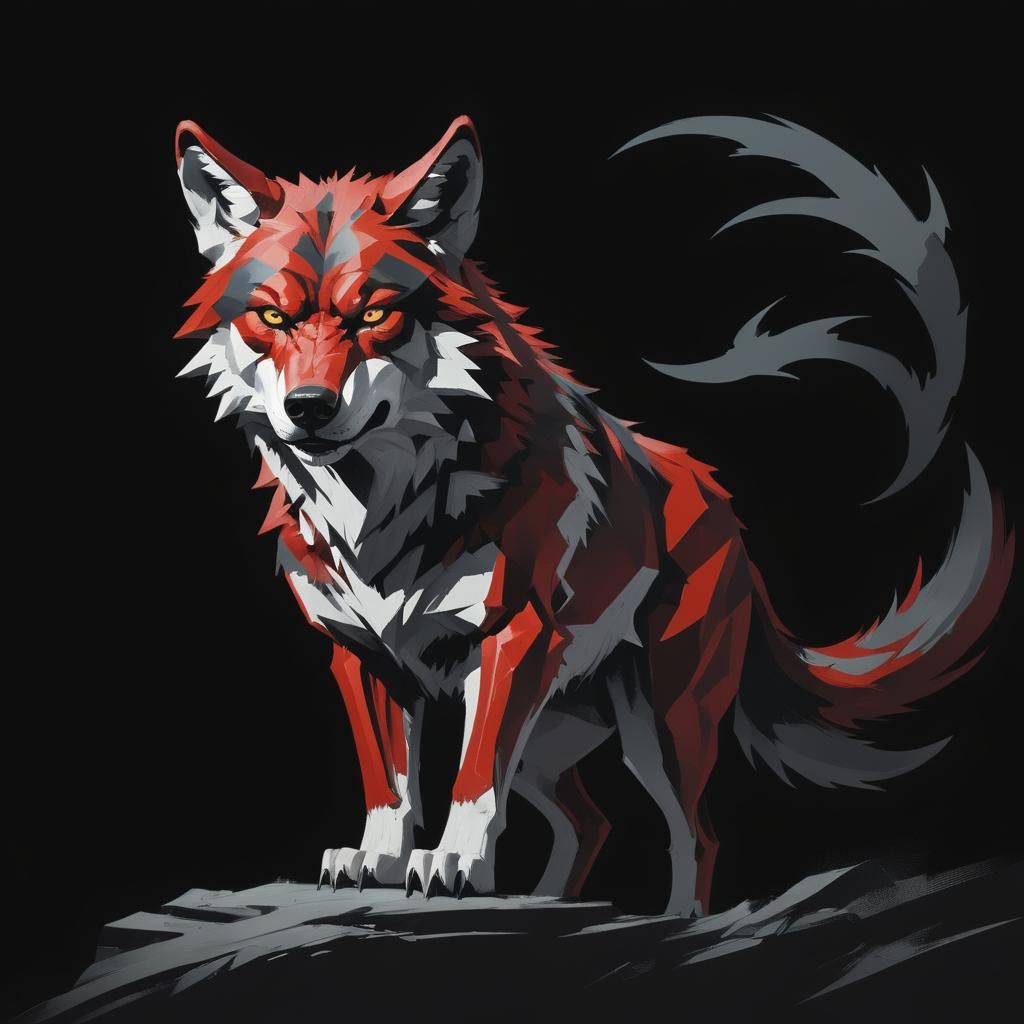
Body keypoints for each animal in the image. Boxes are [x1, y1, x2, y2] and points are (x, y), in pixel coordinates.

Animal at [174, 114, 1012, 916]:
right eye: (272, 319)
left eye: (375, 314)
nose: (307, 408)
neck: (379, 512)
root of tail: (722, 499)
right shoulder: (360, 654)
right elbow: (391, 784)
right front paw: (376, 861)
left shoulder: (510, 639)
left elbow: (471, 782)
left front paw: (452, 863)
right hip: (553, 741)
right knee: (591, 821)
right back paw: (548, 900)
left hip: (662, 728)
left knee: (695, 835)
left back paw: (678, 921)